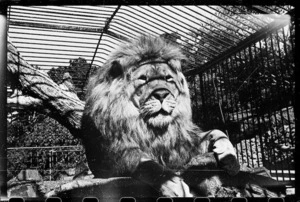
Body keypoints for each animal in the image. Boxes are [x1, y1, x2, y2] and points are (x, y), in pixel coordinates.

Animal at [81, 35, 240, 197]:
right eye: (143, 79)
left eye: (168, 78)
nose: (162, 94)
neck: (155, 128)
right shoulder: (110, 155)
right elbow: (147, 164)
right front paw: (172, 183)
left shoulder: (182, 143)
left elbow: (215, 132)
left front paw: (230, 157)